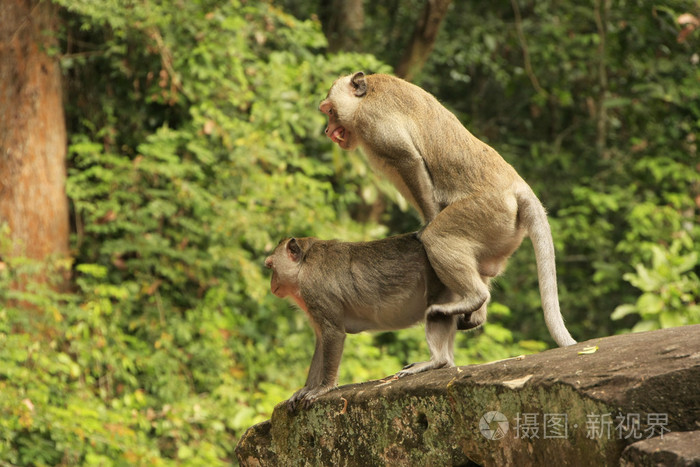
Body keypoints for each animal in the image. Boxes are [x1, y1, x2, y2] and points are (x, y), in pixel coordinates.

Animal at [262, 234, 454, 410]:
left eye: (271, 266)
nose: (271, 284)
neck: (304, 265)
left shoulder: (315, 290)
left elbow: (334, 333)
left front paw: (323, 387)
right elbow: (321, 339)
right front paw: (307, 388)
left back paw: (438, 361)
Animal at [320, 72, 576, 352]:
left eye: (330, 111)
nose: (327, 130)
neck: (363, 101)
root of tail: (518, 187)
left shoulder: (374, 122)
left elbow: (409, 160)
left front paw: (427, 222)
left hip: (486, 210)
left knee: (438, 239)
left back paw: (473, 297)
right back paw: (476, 313)